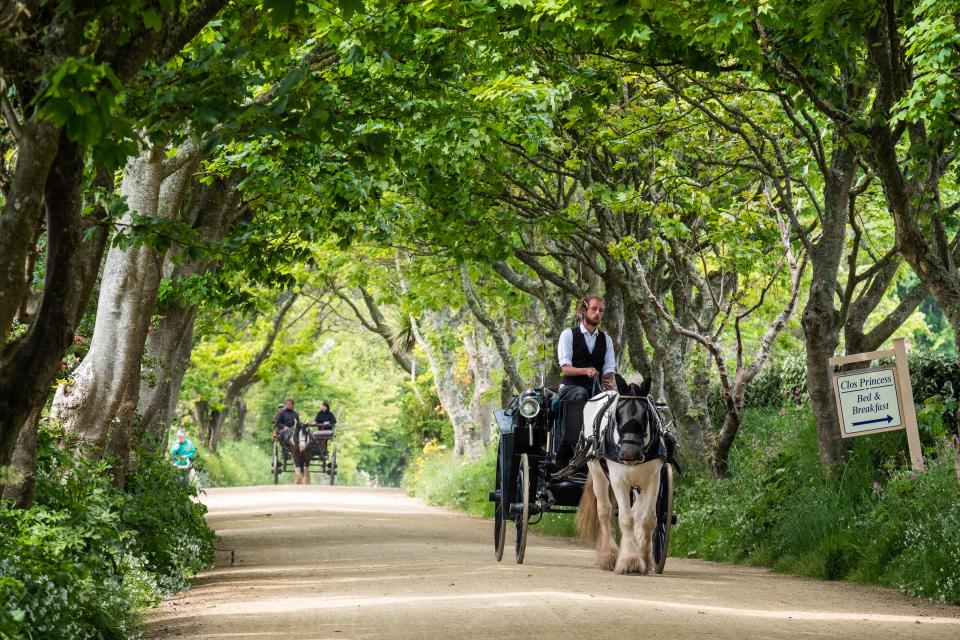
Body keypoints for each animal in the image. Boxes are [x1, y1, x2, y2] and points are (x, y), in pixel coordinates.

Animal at [572, 378, 664, 576]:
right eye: (618, 415)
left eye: (645, 415)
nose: (629, 453)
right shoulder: (618, 480)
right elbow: (625, 518)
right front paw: (630, 560)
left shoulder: (653, 480)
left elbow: (648, 519)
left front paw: (645, 558)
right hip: (598, 473)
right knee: (604, 511)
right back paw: (609, 556)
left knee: (637, 512)